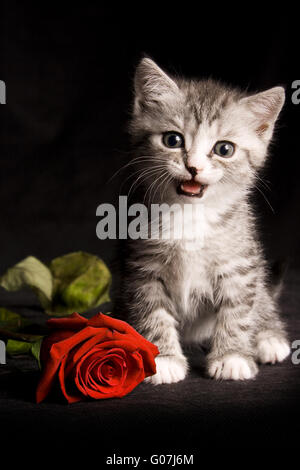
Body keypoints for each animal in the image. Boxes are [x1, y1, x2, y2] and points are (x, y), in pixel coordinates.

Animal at [113, 57, 290, 382]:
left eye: (224, 149)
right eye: (173, 140)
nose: (193, 167)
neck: (190, 214)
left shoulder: (239, 263)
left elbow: (238, 311)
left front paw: (232, 356)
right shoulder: (142, 267)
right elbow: (151, 310)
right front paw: (163, 359)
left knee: (261, 296)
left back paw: (269, 337)